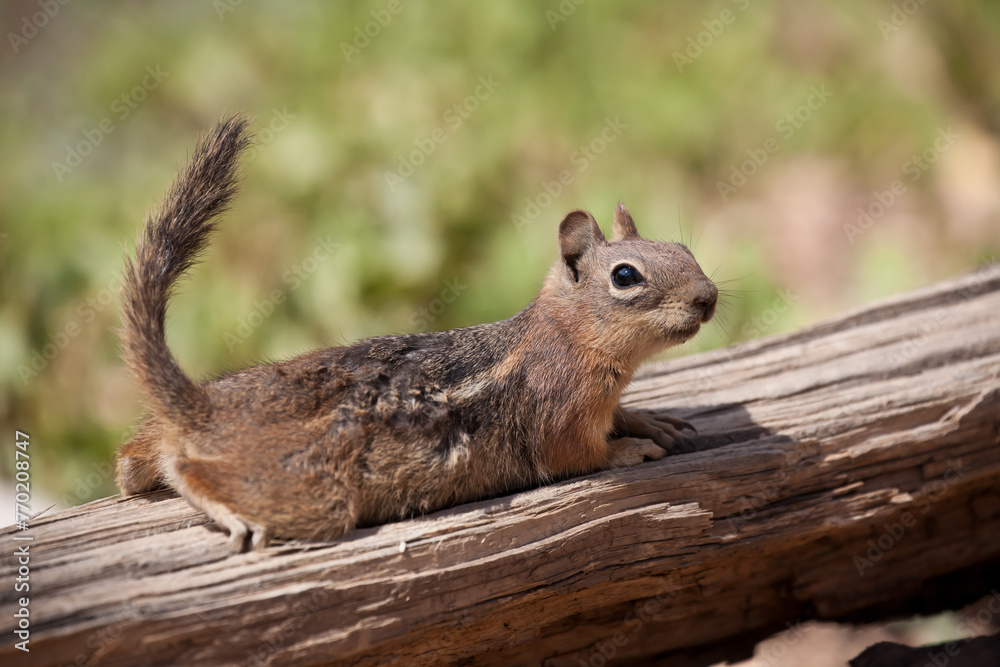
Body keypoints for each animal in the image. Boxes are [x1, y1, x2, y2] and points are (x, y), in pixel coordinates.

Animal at [115, 114, 718, 552]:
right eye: (626, 276)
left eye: (683, 249)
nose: (708, 297)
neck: (567, 334)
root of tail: (201, 410)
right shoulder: (562, 415)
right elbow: (582, 456)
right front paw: (632, 448)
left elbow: (622, 415)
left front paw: (651, 420)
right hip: (314, 494)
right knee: (189, 470)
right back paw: (233, 516)